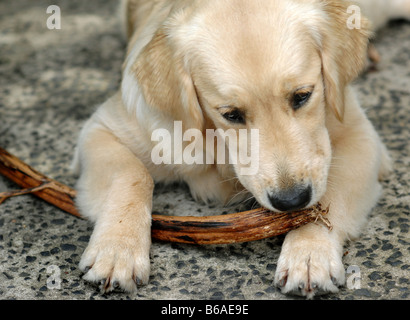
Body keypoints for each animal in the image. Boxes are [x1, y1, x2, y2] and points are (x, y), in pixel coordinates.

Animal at [73, 0, 406, 298]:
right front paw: (118, 251)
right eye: (231, 114)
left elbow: (327, 200)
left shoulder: (360, 135)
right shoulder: (103, 129)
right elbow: (133, 175)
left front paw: (310, 254)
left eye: (302, 95)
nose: (291, 200)